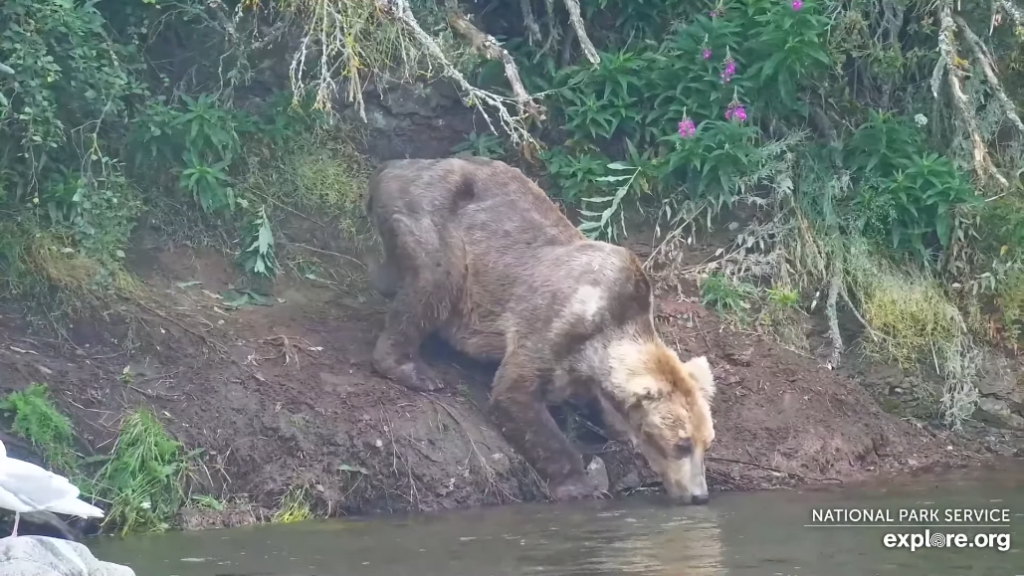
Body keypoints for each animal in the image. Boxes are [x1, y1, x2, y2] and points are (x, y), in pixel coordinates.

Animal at [364, 154, 716, 500]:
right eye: (681, 444)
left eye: (706, 442)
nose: (699, 494)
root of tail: (392, 165)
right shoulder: (555, 322)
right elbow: (516, 395)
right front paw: (579, 483)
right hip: (436, 221)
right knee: (433, 282)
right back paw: (415, 370)